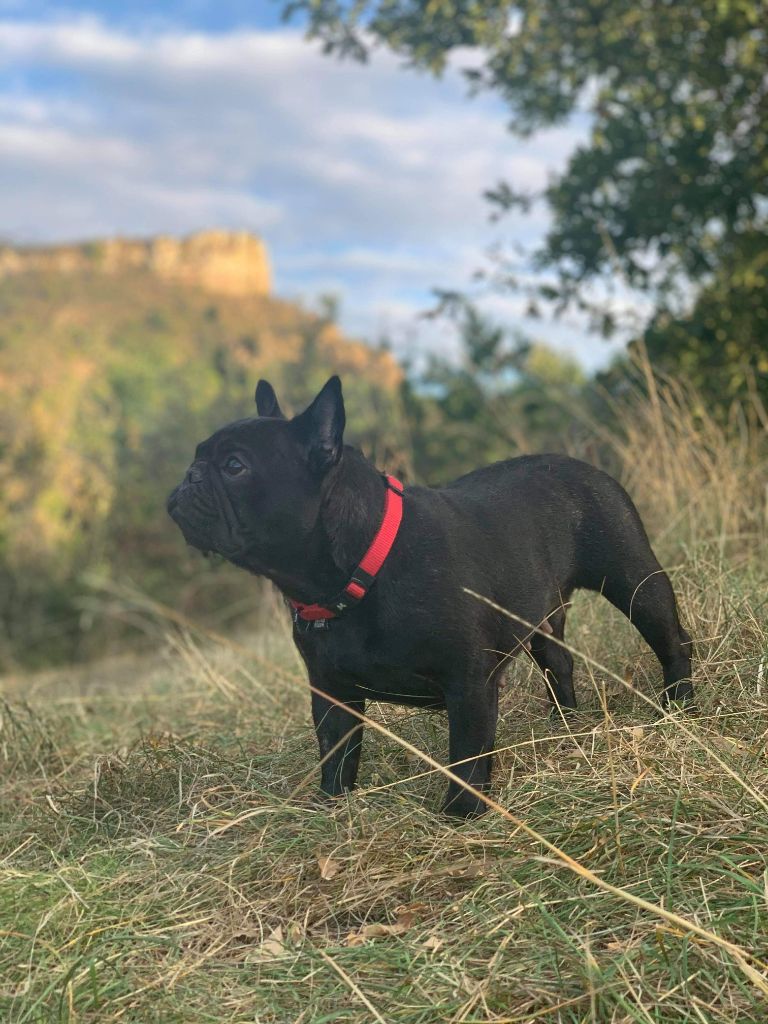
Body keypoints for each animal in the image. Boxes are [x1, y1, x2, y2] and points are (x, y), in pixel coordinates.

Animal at [167, 376, 693, 817]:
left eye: (234, 466)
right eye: (198, 457)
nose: (188, 476)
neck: (361, 570)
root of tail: (583, 465)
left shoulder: (469, 683)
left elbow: (467, 754)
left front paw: (461, 814)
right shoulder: (331, 693)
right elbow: (337, 754)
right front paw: (331, 806)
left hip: (634, 581)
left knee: (671, 639)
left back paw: (679, 704)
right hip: (542, 615)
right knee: (558, 662)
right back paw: (563, 723)